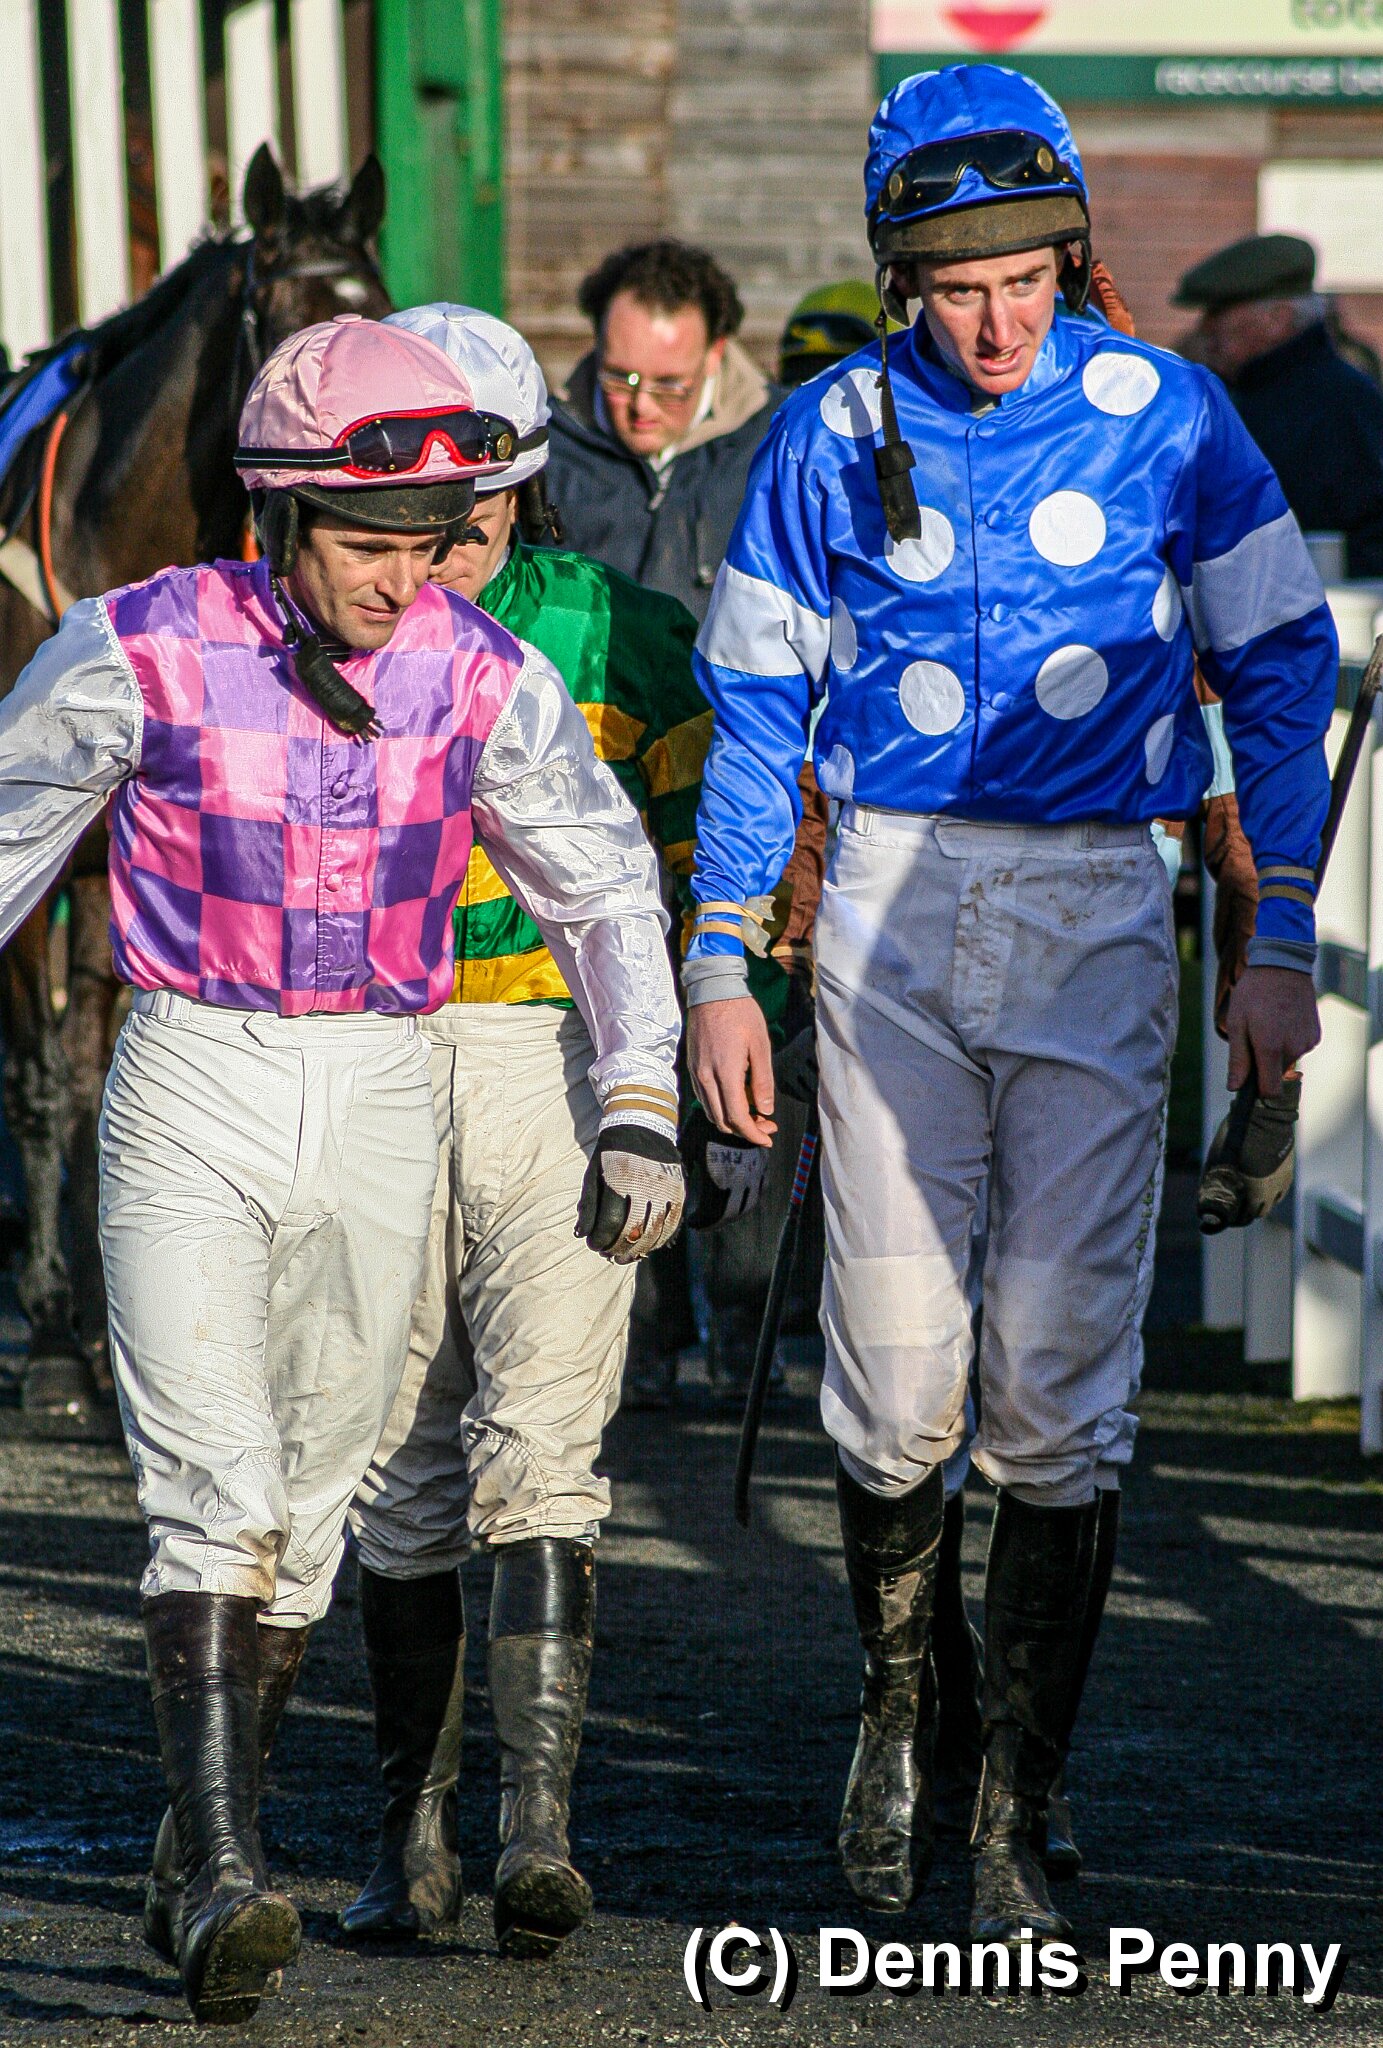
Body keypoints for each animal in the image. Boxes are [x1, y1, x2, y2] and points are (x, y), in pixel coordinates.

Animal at [0, 144, 392, 1428]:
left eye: (384, 316)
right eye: (289, 337)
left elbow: (93, 1079)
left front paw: (95, 1325)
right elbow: (40, 1079)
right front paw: (55, 1334)